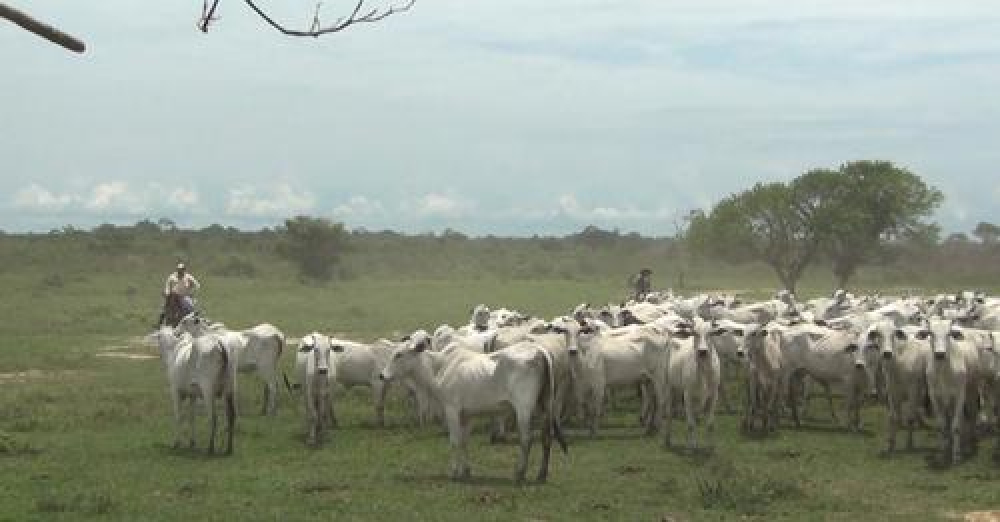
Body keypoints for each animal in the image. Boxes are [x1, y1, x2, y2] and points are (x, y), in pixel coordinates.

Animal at [378, 332, 568, 482]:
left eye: (399, 354)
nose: (382, 375)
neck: (438, 368)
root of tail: (539, 350)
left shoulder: (452, 410)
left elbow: (455, 441)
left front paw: (454, 472)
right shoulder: (466, 415)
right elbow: (464, 442)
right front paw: (466, 471)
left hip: (524, 409)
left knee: (526, 439)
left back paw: (520, 473)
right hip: (545, 407)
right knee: (546, 438)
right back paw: (541, 475)